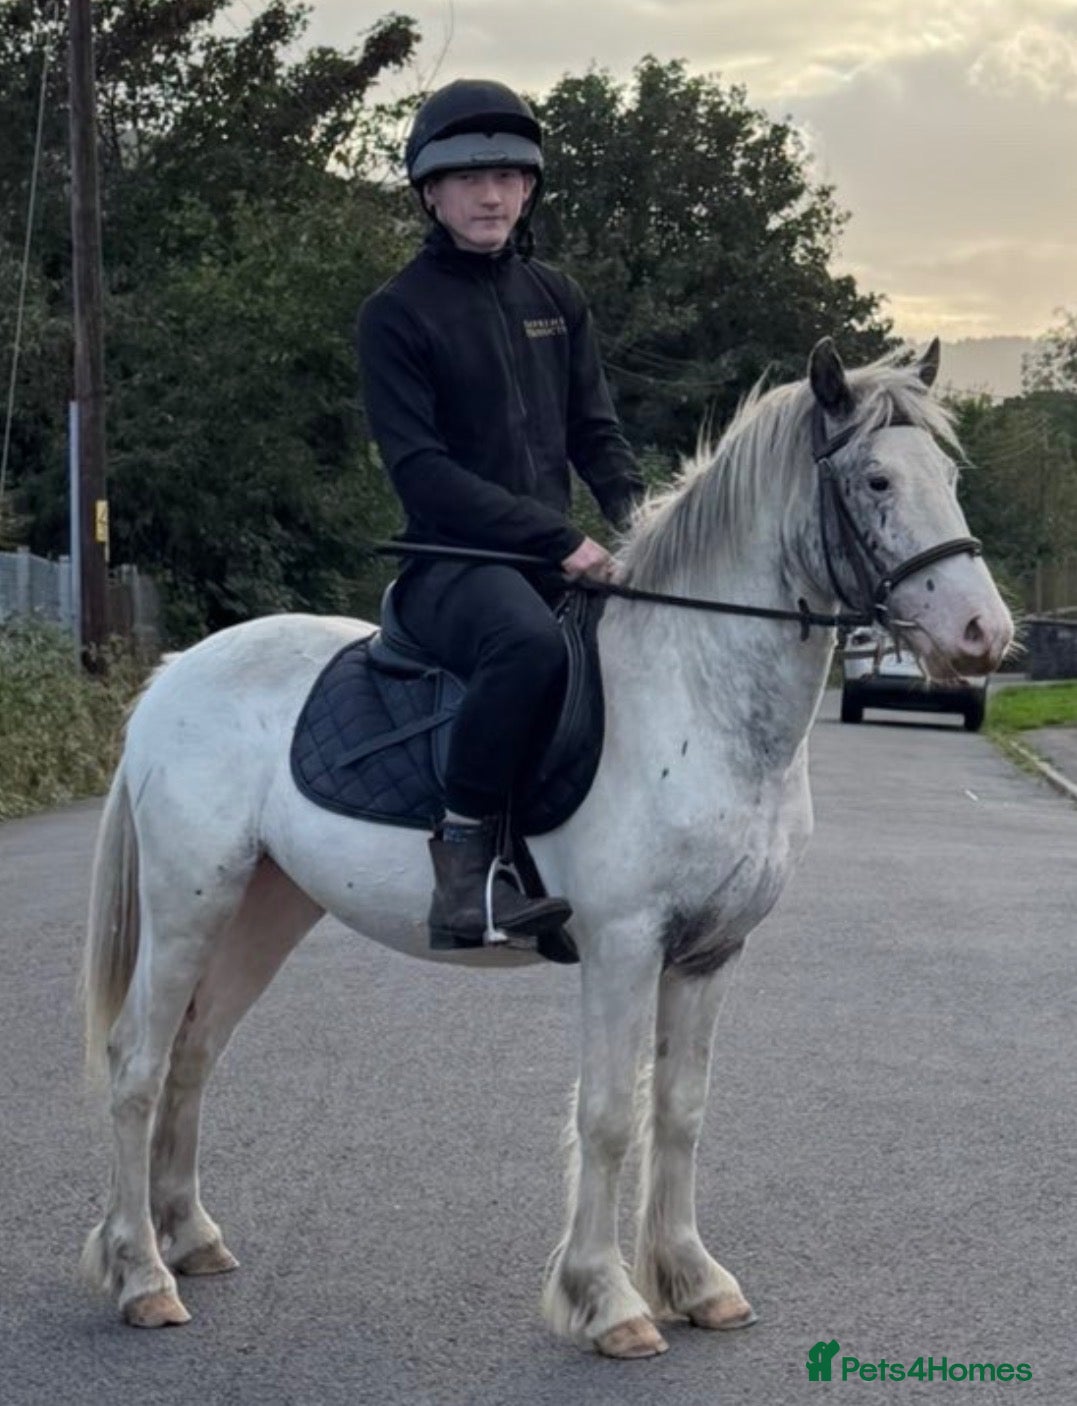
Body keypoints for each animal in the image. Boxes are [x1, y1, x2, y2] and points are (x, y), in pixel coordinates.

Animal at [79, 338, 1012, 1358]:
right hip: (189, 906)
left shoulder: (711, 953)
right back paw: (141, 1276)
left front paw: (694, 1281)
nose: (984, 635)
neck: (696, 692)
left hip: (266, 907)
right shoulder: (622, 945)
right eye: (877, 479)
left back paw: (190, 1238)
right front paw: (609, 1301)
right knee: (135, 1065)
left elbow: (679, 1112)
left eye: (949, 477)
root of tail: (174, 675)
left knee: (194, 1051)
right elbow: (607, 1116)